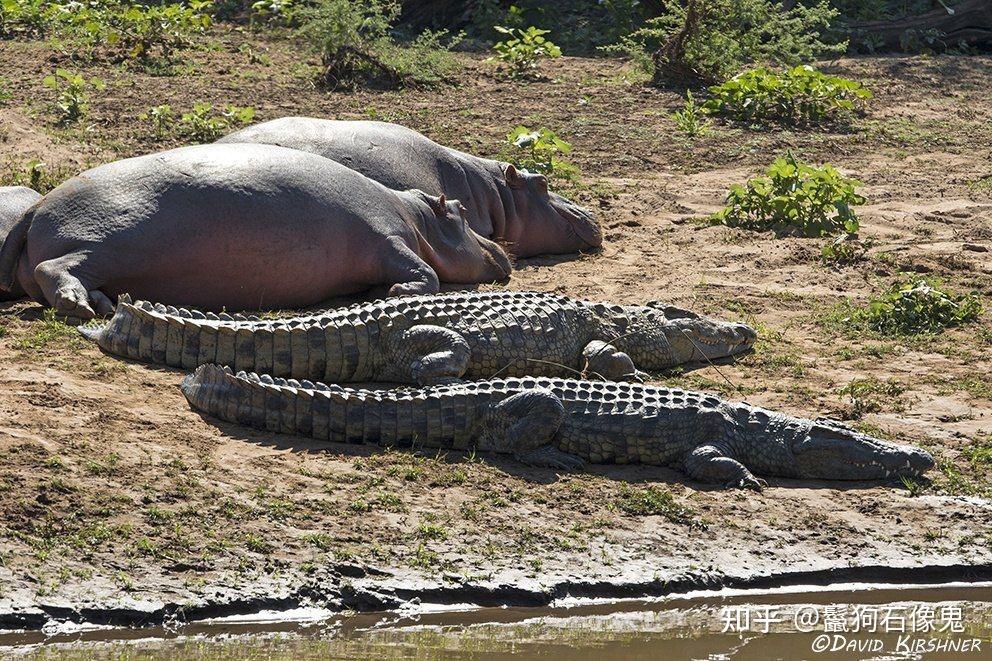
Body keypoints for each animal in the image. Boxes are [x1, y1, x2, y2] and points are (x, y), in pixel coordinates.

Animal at [0, 142, 512, 318]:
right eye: (460, 209)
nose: (502, 247)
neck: (416, 216)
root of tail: (39, 203)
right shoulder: (389, 238)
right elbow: (426, 272)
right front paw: (394, 294)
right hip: (111, 240)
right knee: (56, 267)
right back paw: (82, 306)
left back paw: (102, 303)